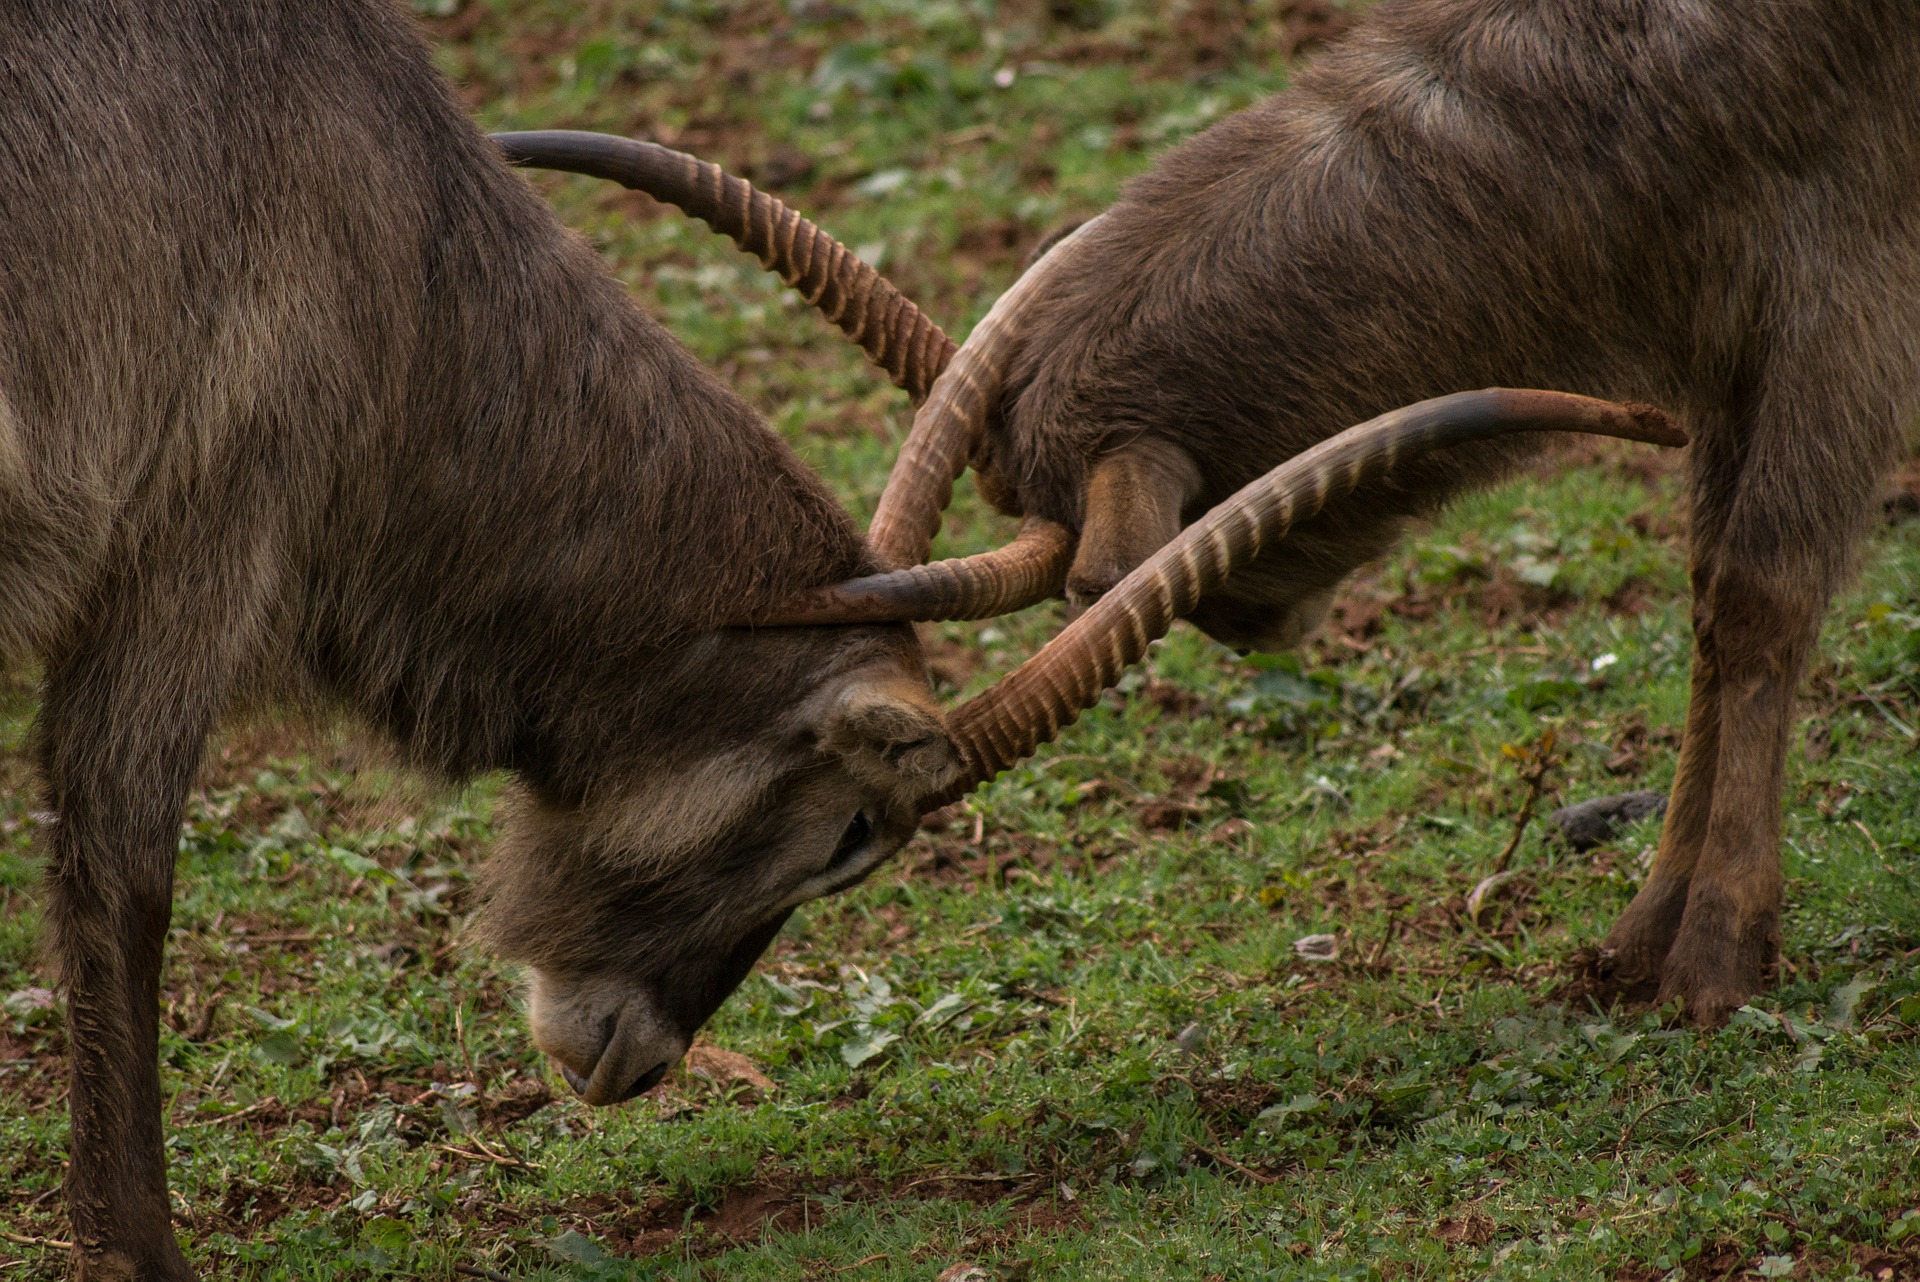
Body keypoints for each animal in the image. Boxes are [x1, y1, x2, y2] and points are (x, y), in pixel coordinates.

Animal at [0, 2, 1681, 1282]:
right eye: (854, 836)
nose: (629, 1059)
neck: (391, 236)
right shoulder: (195, 541)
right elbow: (122, 860)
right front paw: (139, 1248)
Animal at [506, 0, 1920, 1028]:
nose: (1252, 626)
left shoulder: (1839, 270)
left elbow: (1760, 591)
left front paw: (1716, 956)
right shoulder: (1734, 333)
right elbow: (1711, 600)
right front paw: (1640, 939)